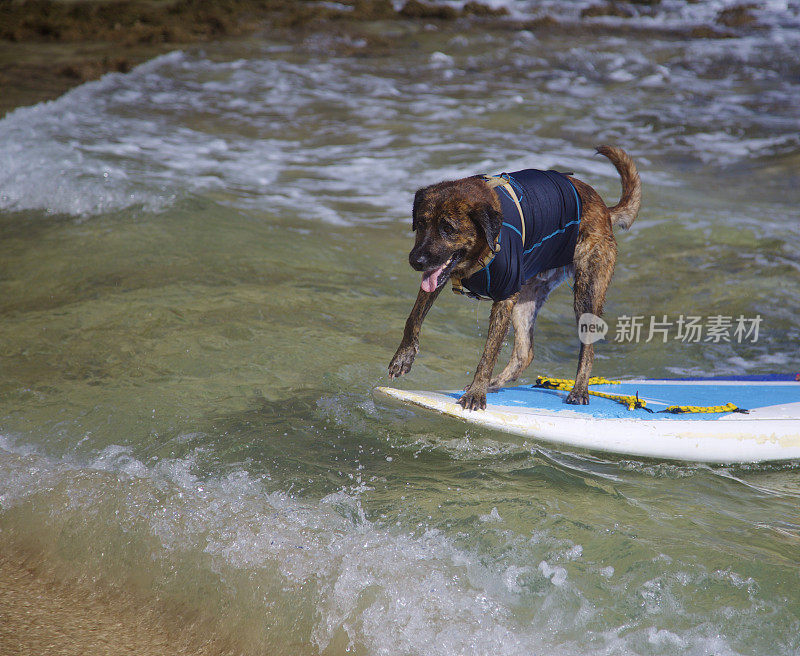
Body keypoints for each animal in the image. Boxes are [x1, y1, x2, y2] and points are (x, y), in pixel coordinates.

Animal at [384, 147, 640, 410]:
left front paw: (476, 392)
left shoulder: (503, 297)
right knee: (524, 353)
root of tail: (604, 210)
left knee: (587, 347)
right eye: (421, 223)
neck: (483, 245)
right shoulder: (439, 275)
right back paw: (495, 383)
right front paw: (403, 357)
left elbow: (488, 354)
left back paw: (579, 389)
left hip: (586, 292)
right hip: (525, 298)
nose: (415, 261)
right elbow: (414, 318)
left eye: (448, 228)